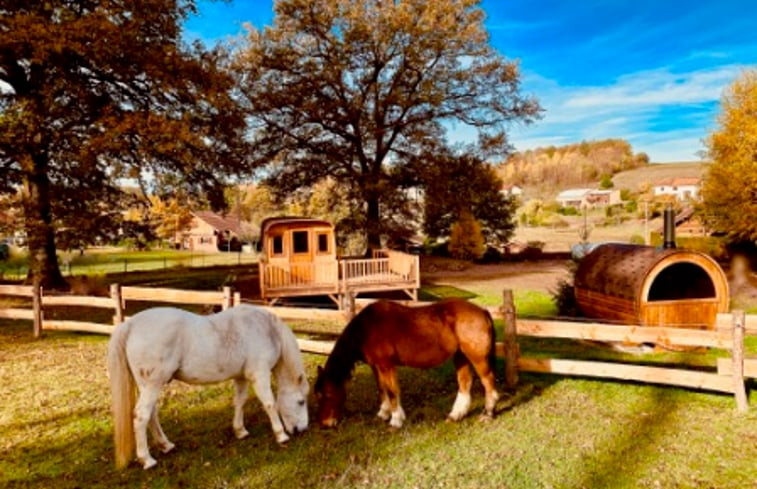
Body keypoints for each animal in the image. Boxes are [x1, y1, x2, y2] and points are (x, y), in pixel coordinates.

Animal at [106, 304, 308, 468]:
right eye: (301, 402)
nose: (302, 430)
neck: (265, 329)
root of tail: (130, 325)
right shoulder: (260, 374)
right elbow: (270, 404)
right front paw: (281, 435)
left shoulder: (241, 376)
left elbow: (240, 401)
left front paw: (240, 431)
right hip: (153, 385)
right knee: (141, 416)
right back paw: (147, 460)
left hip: (148, 386)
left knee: (152, 414)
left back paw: (166, 445)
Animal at [314, 298, 500, 428]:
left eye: (327, 395)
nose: (325, 423)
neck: (366, 329)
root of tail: (482, 311)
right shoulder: (376, 366)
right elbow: (382, 389)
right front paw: (383, 413)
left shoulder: (386, 366)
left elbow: (392, 391)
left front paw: (396, 420)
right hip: (460, 356)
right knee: (465, 382)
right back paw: (456, 415)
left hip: (477, 357)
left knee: (487, 381)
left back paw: (488, 414)